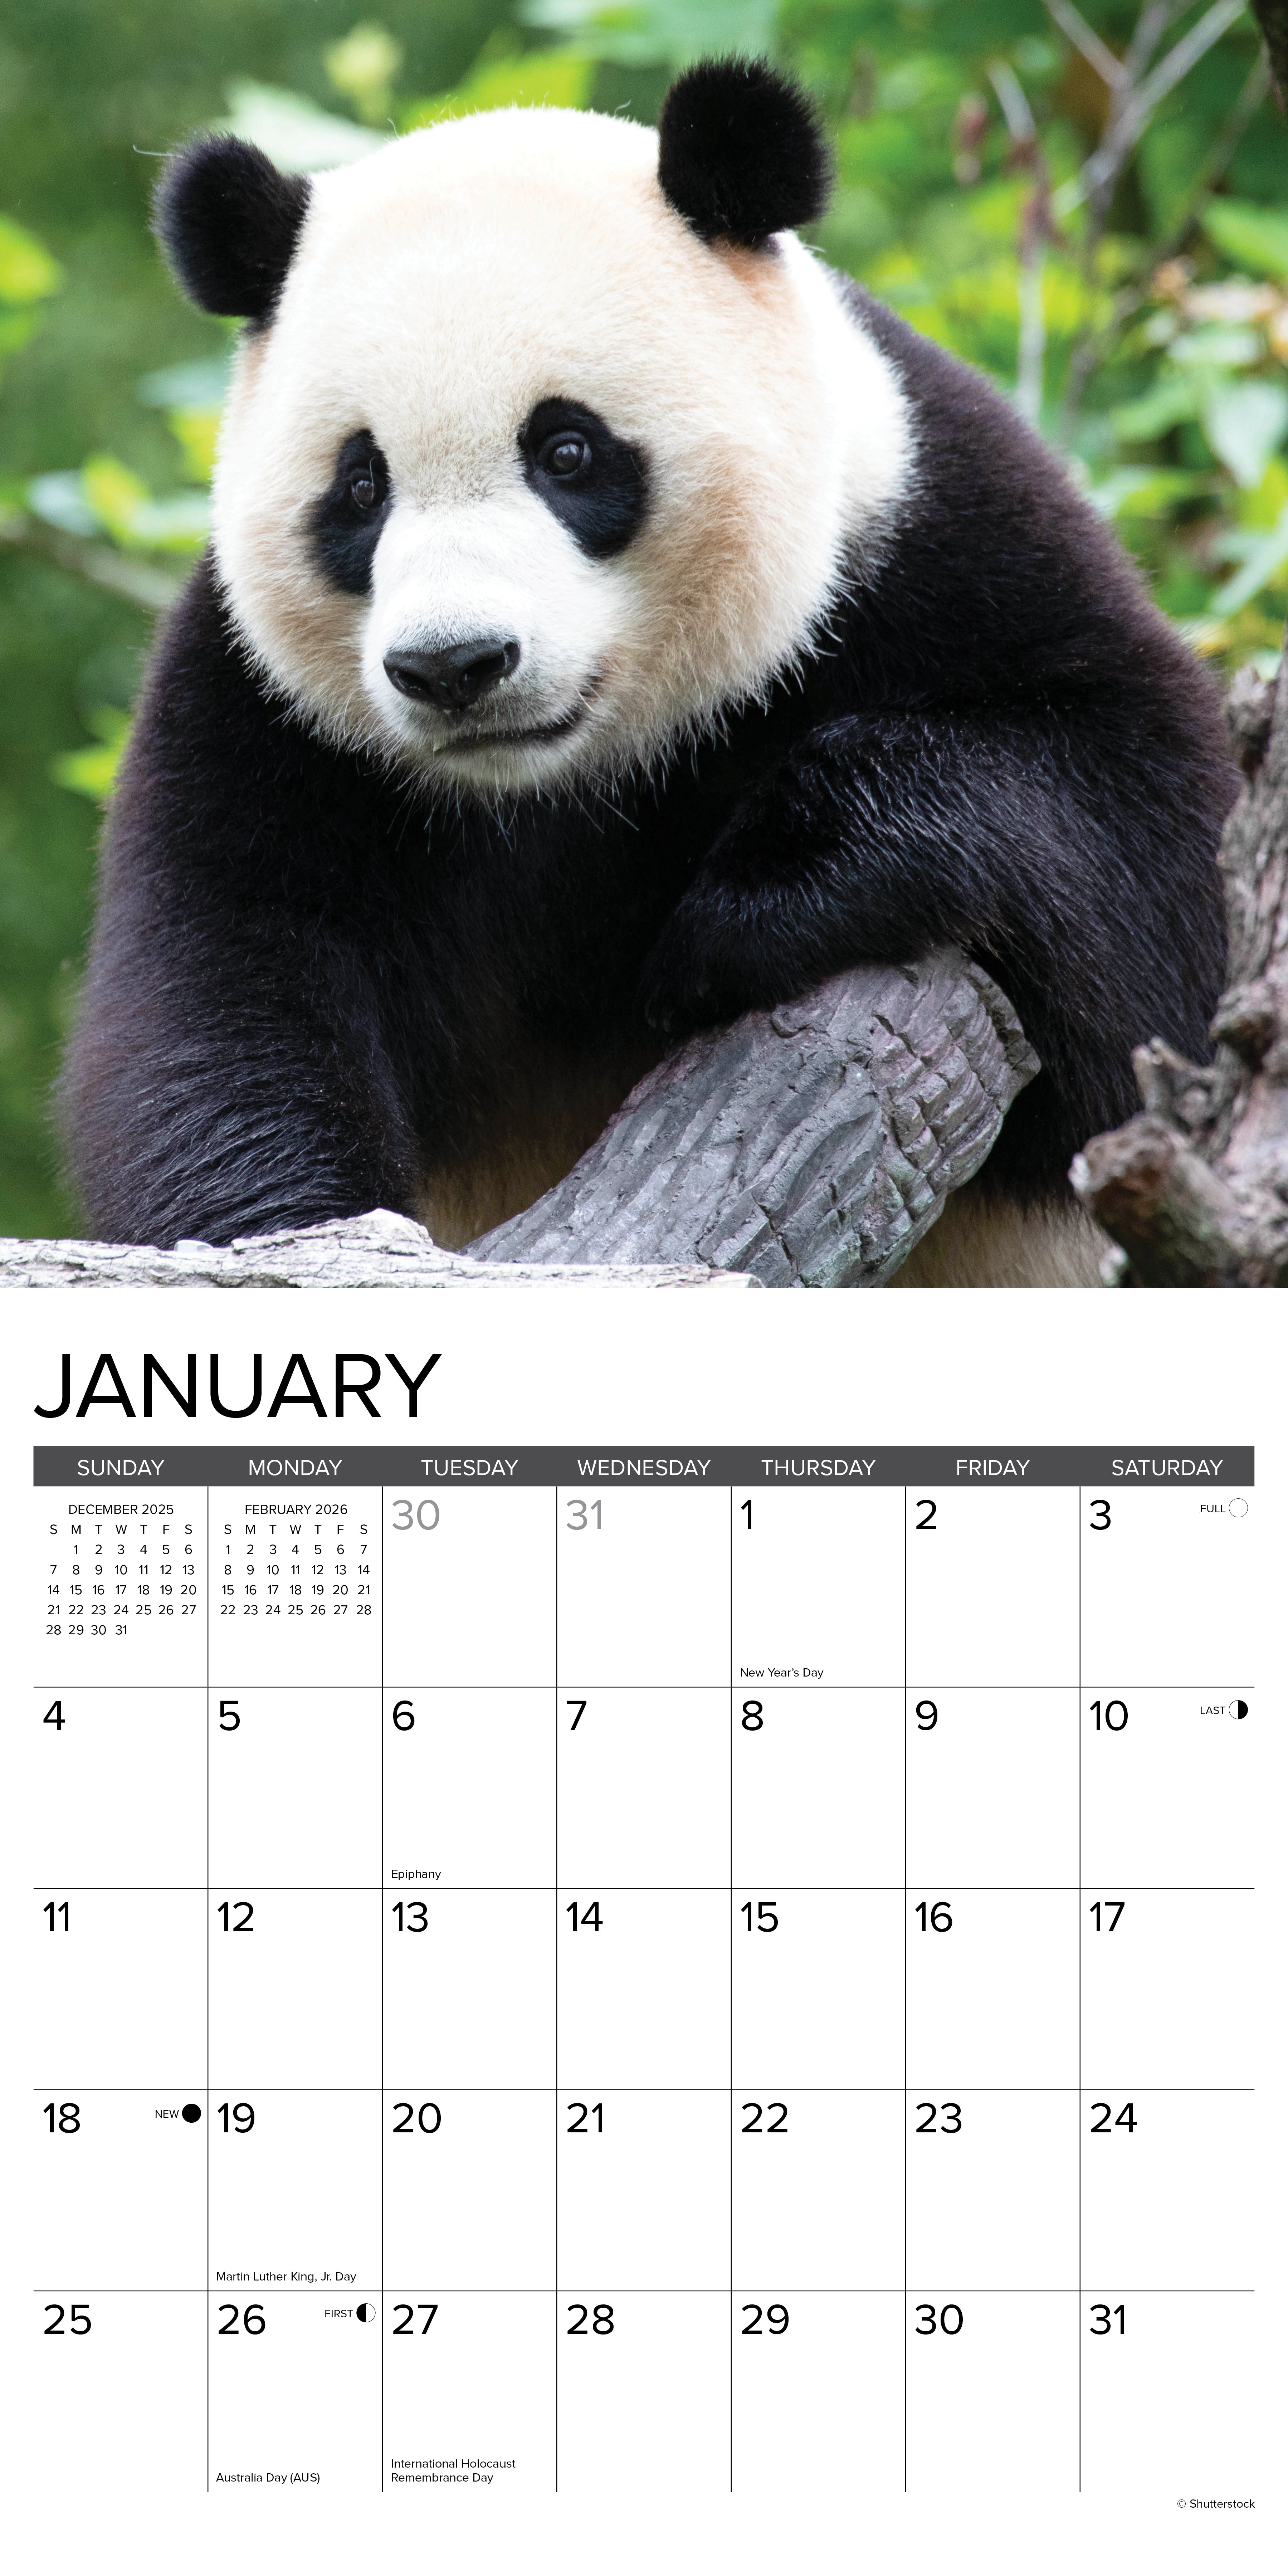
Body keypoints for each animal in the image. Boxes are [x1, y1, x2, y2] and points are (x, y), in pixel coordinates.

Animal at [62, 57, 1235, 1285]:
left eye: (567, 450)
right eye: (361, 486)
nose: (455, 666)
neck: (568, 782)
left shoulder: (939, 537)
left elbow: (1150, 868)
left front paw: (746, 912)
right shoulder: (265, 713)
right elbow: (220, 985)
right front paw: (297, 1229)